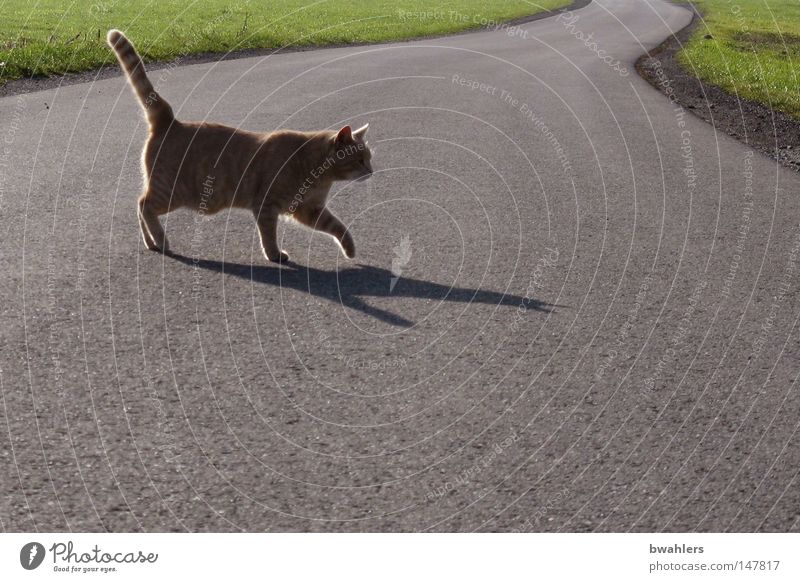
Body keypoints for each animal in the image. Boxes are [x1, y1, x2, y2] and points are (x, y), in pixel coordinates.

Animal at [104, 29, 376, 262]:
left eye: (369, 158)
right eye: (360, 159)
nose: (372, 171)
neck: (317, 172)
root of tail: (170, 120)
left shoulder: (310, 210)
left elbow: (338, 226)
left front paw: (350, 249)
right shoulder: (267, 206)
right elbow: (268, 235)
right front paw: (274, 255)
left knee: (140, 205)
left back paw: (152, 242)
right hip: (172, 192)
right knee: (144, 205)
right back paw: (160, 240)